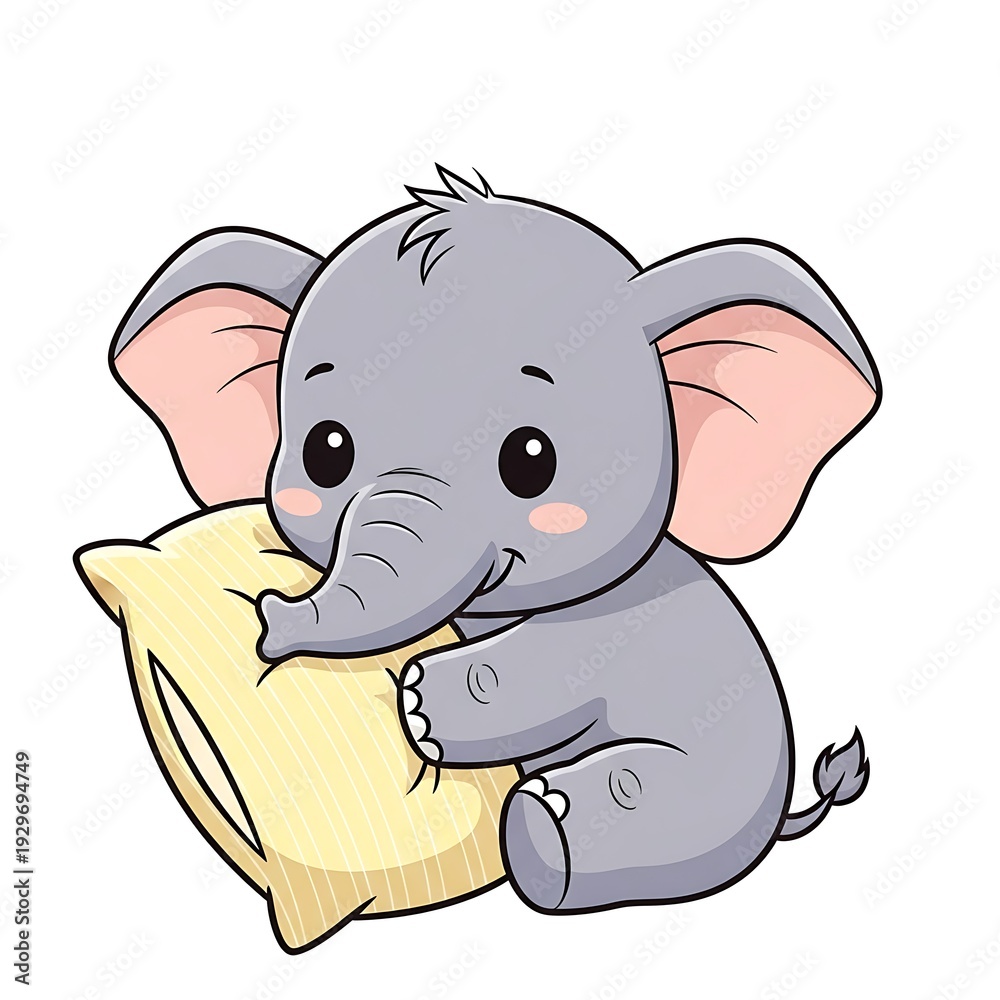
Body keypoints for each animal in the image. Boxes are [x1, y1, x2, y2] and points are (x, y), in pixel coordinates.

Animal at [111, 165, 880, 915]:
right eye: (325, 451)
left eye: (531, 459)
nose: (271, 620)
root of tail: (781, 813)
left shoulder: (616, 625)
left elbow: (540, 672)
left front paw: (420, 707)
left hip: (704, 793)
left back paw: (543, 832)